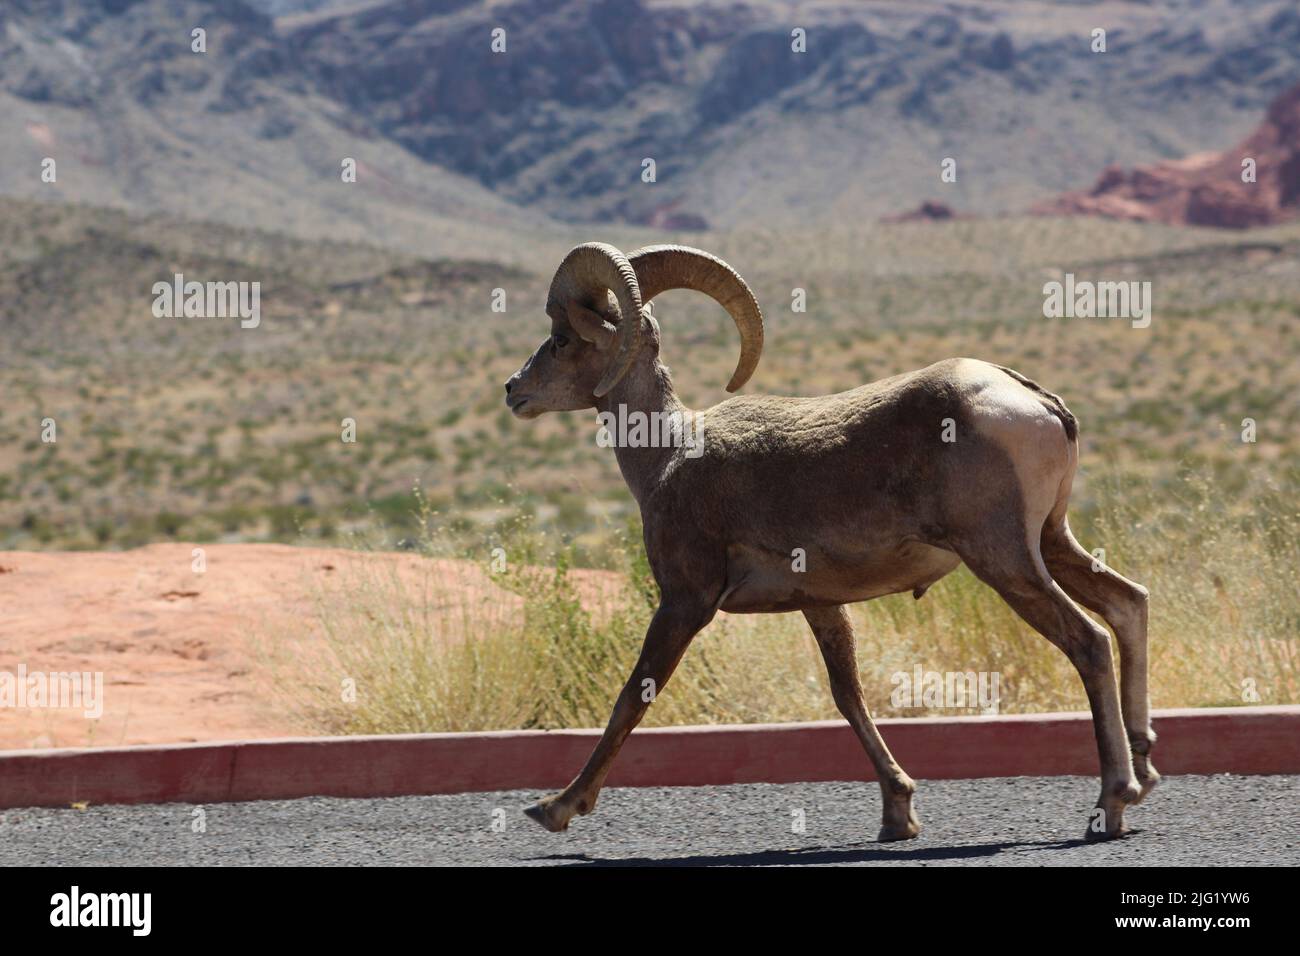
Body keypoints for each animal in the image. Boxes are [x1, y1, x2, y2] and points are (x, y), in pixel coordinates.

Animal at [499, 243, 1159, 842]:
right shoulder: (821, 605)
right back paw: (1146, 768)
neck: (666, 455)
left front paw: (556, 808)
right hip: (1050, 542)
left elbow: (632, 698)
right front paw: (898, 813)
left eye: (562, 340)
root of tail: (1034, 402)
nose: (512, 390)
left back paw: (1114, 799)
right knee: (1128, 603)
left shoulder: (685, 602)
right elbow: (849, 697)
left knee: (1090, 641)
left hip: (1004, 559)